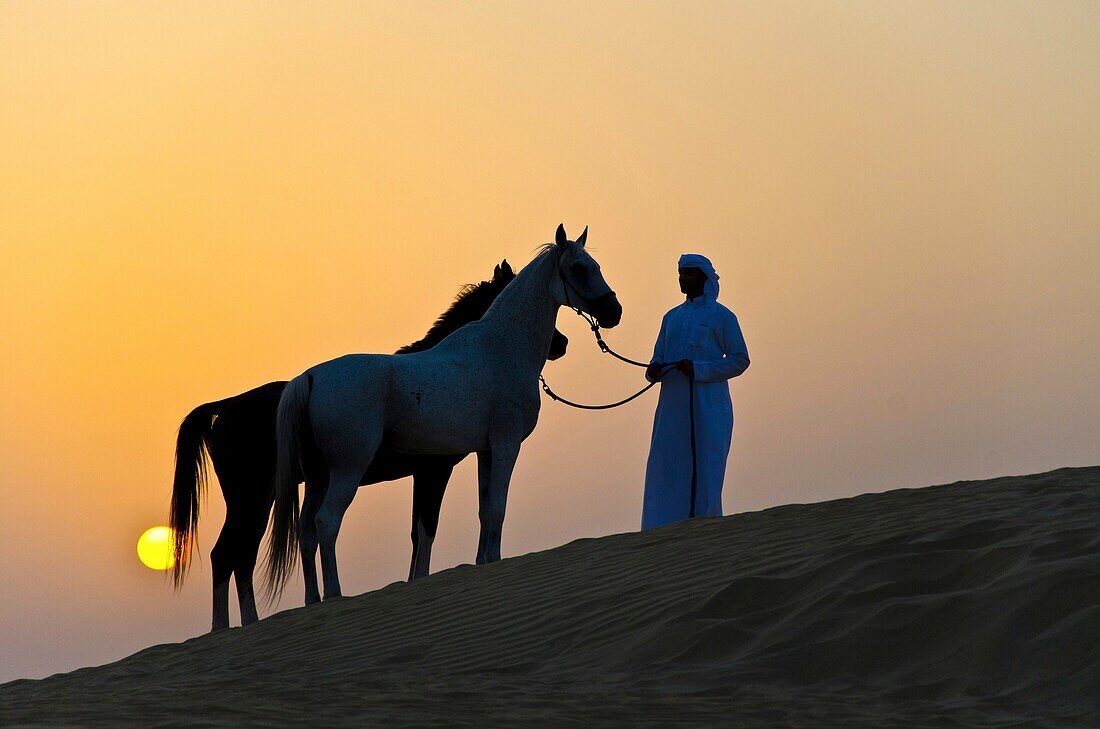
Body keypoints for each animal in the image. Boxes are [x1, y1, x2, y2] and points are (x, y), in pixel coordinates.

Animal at [171, 259, 572, 628]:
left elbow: (416, 532)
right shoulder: (434, 471)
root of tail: (225, 407)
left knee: (235, 555)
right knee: (233, 555)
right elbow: (425, 529)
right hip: (253, 498)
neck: (447, 374)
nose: (561, 343)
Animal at [266, 225, 624, 602]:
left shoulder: (485, 451)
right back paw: (335, 594)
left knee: (306, 531)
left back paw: (314, 601)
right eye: (579, 268)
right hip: (347, 470)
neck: (499, 349)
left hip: (318, 476)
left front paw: (485, 562)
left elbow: (484, 510)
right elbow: (496, 508)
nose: (613, 311)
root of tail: (310, 377)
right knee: (327, 523)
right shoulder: (505, 445)